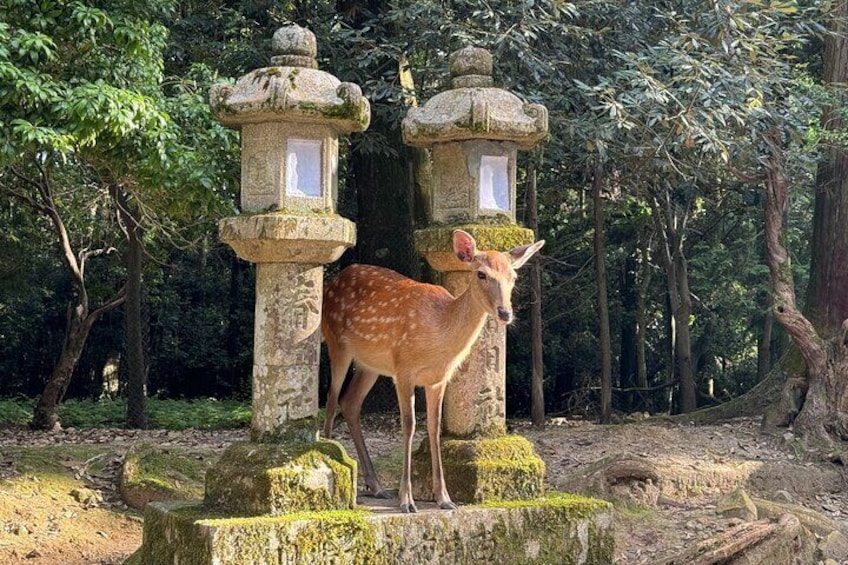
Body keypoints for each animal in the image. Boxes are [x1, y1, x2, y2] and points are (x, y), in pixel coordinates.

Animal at [322, 228, 548, 512]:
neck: (439, 333)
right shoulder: (404, 369)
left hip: (370, 364)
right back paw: (332, 460)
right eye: (481, 274)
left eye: (513, 277)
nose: (505, 312)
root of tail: (331, 283)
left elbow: (434, 428)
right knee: (331, 400)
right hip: (336, 342)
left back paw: (375, 486)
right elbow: (409, 425)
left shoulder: (438, 379)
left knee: (350, 402)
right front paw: (407, 500)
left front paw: (444, 498)